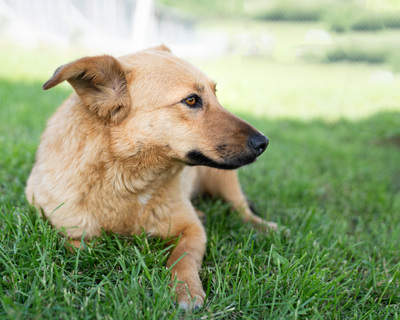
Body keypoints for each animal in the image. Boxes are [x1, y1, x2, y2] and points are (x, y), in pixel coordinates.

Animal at [24, 45, 276, 310]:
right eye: (191, 100)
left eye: (215, 94)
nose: (264, 143)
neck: (127, 184)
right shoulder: (63, 229)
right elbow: (83, 247)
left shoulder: (192, 231)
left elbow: (183, 258)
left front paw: (185, 288)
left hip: (223, 179)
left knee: (241, 209)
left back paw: (265, 227)